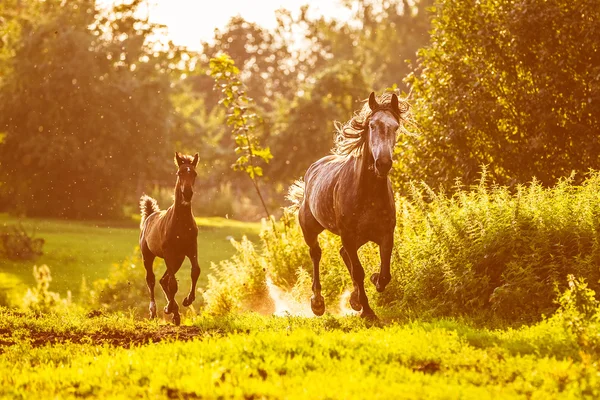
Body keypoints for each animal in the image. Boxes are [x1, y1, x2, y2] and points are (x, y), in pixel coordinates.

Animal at [139, 152, 200, 324]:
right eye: (179, 173)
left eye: (194, 173)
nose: (187, 193)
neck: (181, 222)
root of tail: (150, 215)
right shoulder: (168, 253)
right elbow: (173, 283)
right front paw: (171, 309)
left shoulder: (191, 249)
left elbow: (195, 271)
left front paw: (187, 300)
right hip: (148, 256)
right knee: (152, 279)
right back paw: (154, 311)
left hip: (178, 259)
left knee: (163, 280)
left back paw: (173, 309)